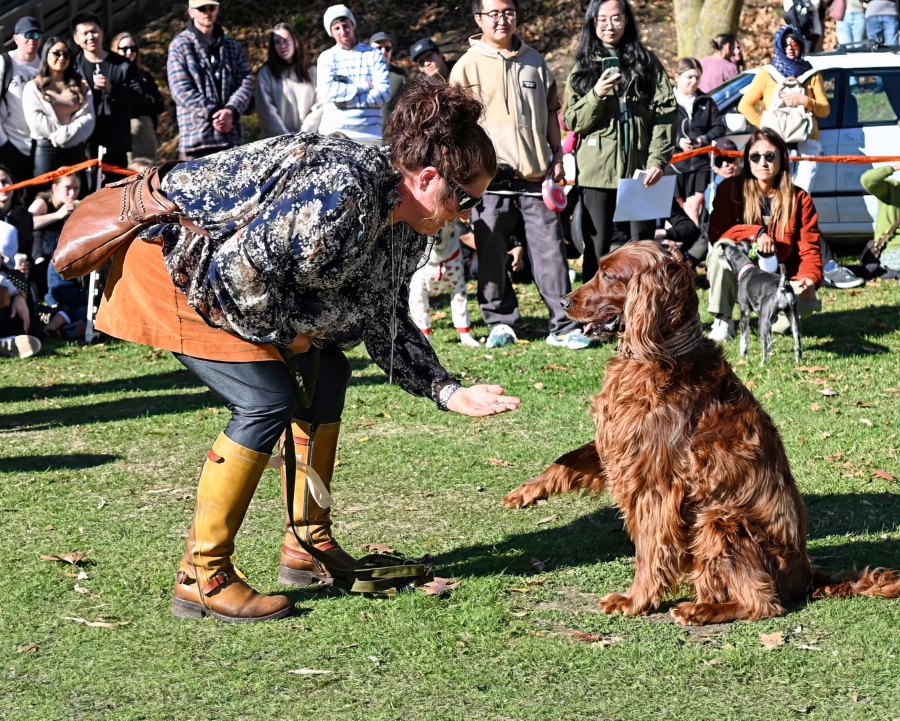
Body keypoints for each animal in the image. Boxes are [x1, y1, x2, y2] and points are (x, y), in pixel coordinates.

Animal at [506, 243, 900, 624]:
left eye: (608, 275)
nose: (563, 302)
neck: (657, 353)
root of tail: (807, 577)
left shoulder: (656, 483)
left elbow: (649, 549)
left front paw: (635, 600)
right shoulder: (619, 441)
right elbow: (569, 458)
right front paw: (526, 492)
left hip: (720, 519)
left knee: (765, 604)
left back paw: (701, 610)